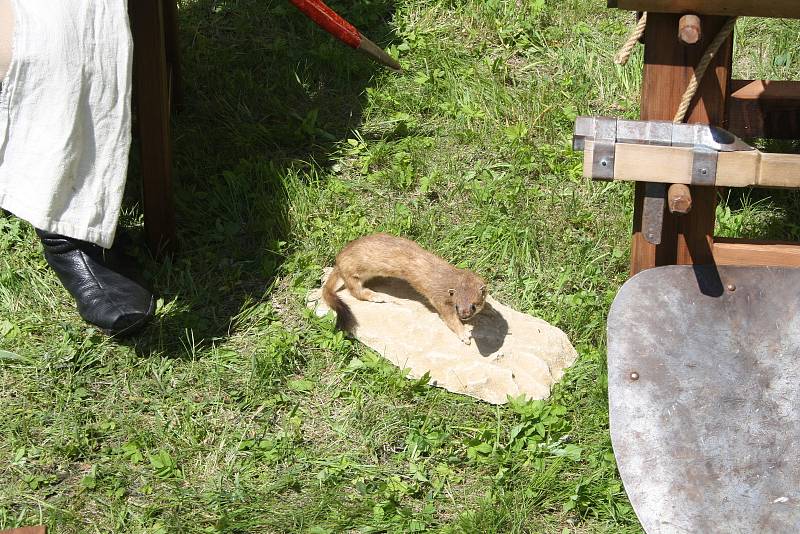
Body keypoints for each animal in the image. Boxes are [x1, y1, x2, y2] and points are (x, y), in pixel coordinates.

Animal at [320, 233, 488, 344]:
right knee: (355, 290)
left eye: (474, 305)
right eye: (457, 305)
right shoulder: (438, 298)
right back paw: (376, 296)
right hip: (352, 274)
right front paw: (464, 335)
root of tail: (339, 259)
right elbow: (449, 318)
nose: (464, 315)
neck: (447, 276)